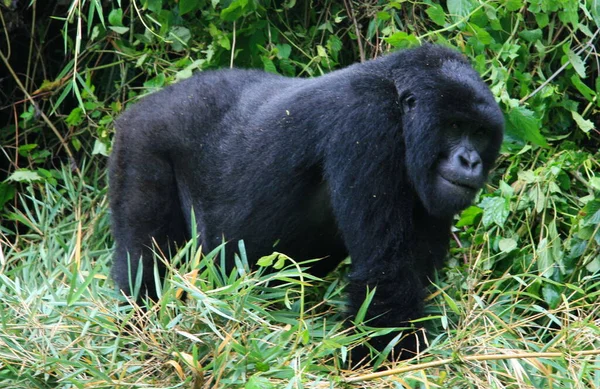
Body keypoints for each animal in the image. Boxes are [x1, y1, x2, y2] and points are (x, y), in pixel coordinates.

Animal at [110, 44, 504, 360]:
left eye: (480, 133)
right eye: (454, 127)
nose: (470, 161)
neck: (396, 96)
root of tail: (140, 106)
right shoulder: (368, 123)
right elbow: (385, 273)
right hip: (142, 140)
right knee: (143, 261)